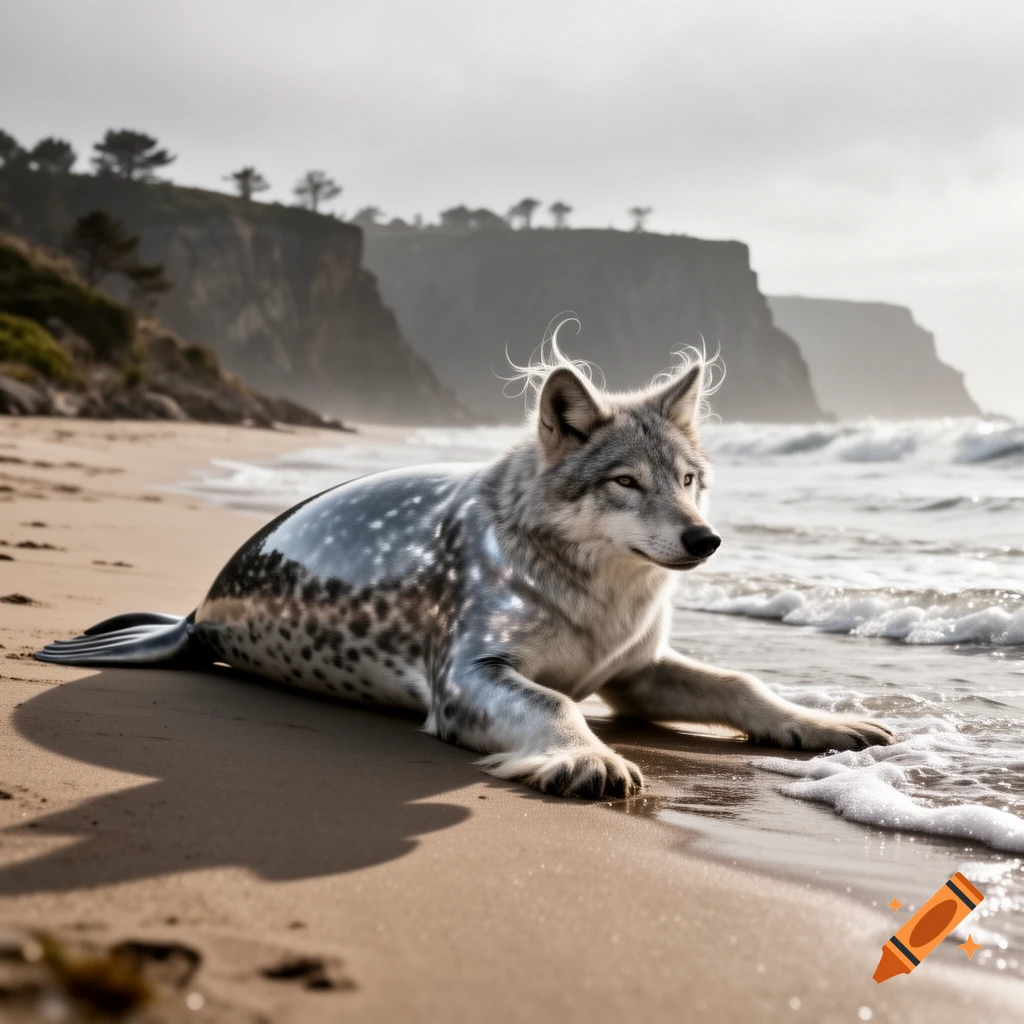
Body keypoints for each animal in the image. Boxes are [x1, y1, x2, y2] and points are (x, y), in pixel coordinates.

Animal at [37, 347, 895, 798]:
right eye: (625, 480)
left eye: (690, 479)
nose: (703, 538)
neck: (604, 604)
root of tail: (192, 615)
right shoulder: (467, 670)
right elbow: (553, 701)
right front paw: (591, 759)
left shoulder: (636, 668)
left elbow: (740, 685)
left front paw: (829, 725)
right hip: (204, 632)